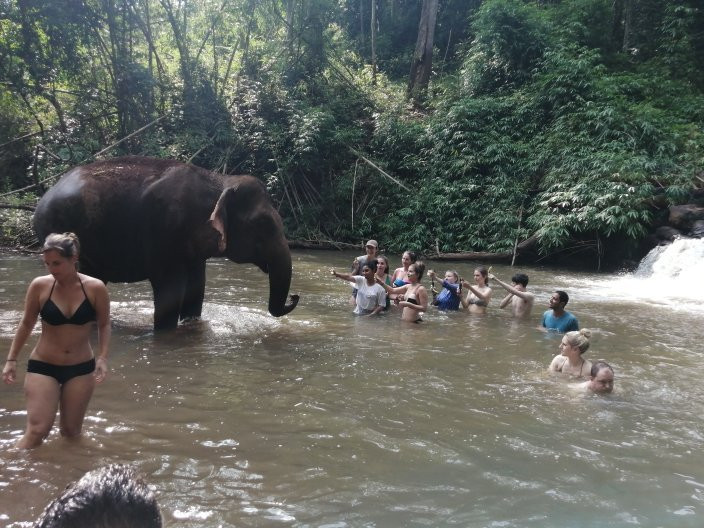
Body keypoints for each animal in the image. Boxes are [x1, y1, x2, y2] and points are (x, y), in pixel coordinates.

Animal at [33, 156, 300, 330]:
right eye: (263, 223)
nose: (295, 297)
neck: (219, 180)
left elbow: (196, 287)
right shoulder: (164, 231)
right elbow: (170, 288)